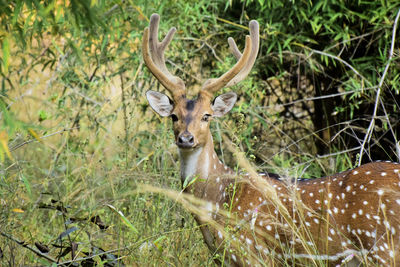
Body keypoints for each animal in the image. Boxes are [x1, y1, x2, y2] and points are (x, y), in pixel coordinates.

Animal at [143, 13, 400, 267]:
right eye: (174, 116)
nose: (186, 138)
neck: (216, 202)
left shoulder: (254, 252)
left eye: (206, 116)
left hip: (384, 248)